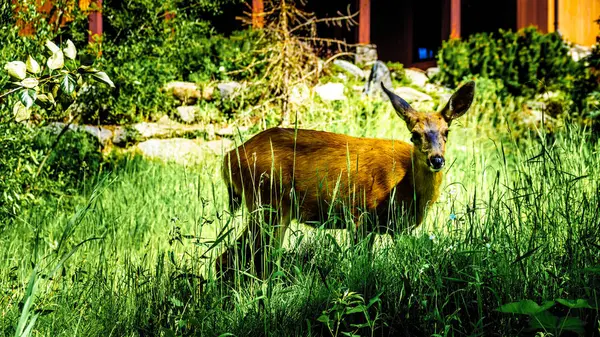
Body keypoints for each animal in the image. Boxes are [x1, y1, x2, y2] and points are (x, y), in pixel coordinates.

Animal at [216, 80, 474, 276]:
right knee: (241, 257)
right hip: (269, 204)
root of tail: (229, 158)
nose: (436, 160)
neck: (404, 182)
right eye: (414, 135)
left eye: (446, 132)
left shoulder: (399, 228)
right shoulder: (361, 216)